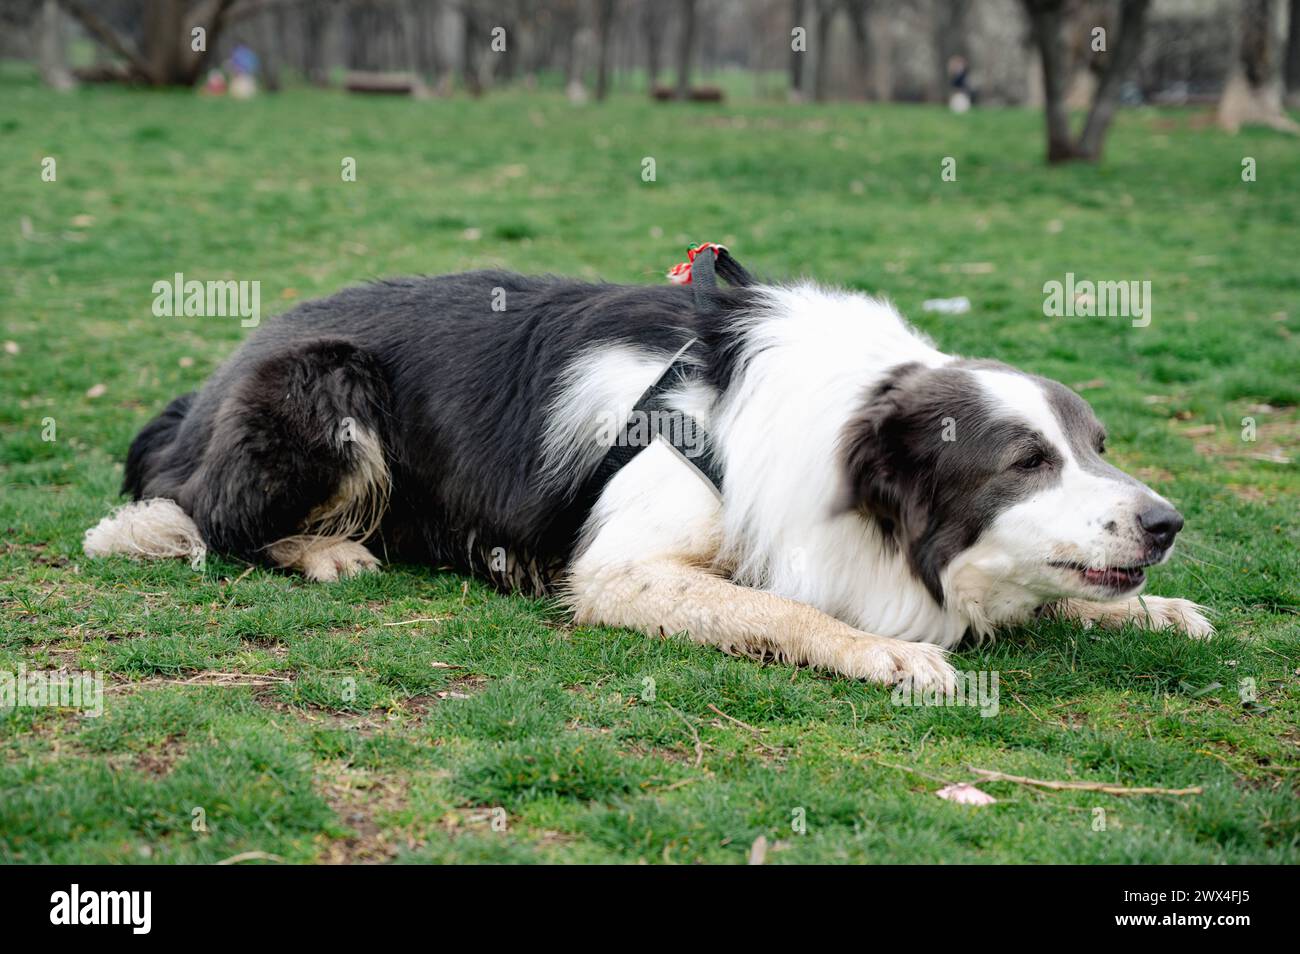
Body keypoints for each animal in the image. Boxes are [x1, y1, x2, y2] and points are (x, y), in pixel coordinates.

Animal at [86, 254, 1211, 691]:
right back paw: (306, 547)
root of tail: (218, 373)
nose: (1165, 523)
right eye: (1025, 461)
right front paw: (885, 652)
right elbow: (785, 606)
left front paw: (1151, 610)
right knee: (200, 514)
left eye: (1096, 446)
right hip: (329, 386)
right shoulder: (623, 569)